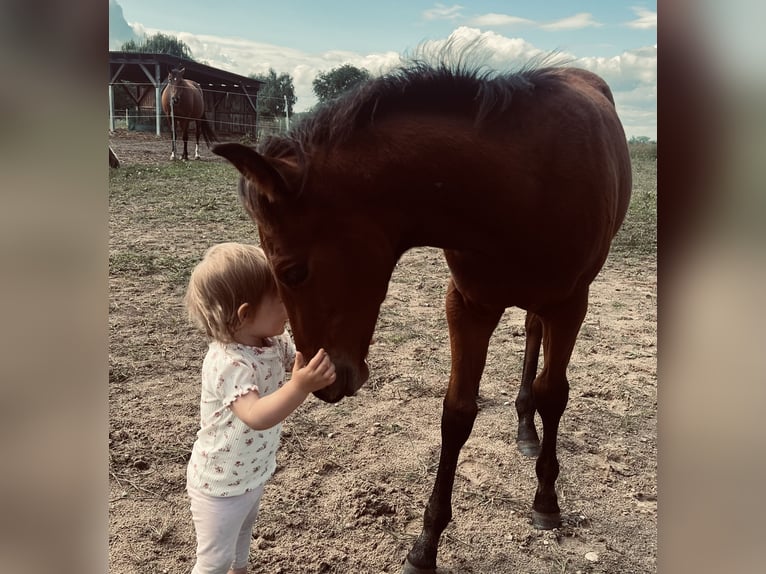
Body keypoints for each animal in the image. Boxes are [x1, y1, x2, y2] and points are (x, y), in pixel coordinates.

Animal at [213, 57, 632, 573]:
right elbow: (457, 413)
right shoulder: (469, 306)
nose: (325, 384)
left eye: (291, 271)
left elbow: (554, 394)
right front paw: (426, 543)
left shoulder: (571, 305)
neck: (521, 188)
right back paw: (524, 426)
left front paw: (547, 501)